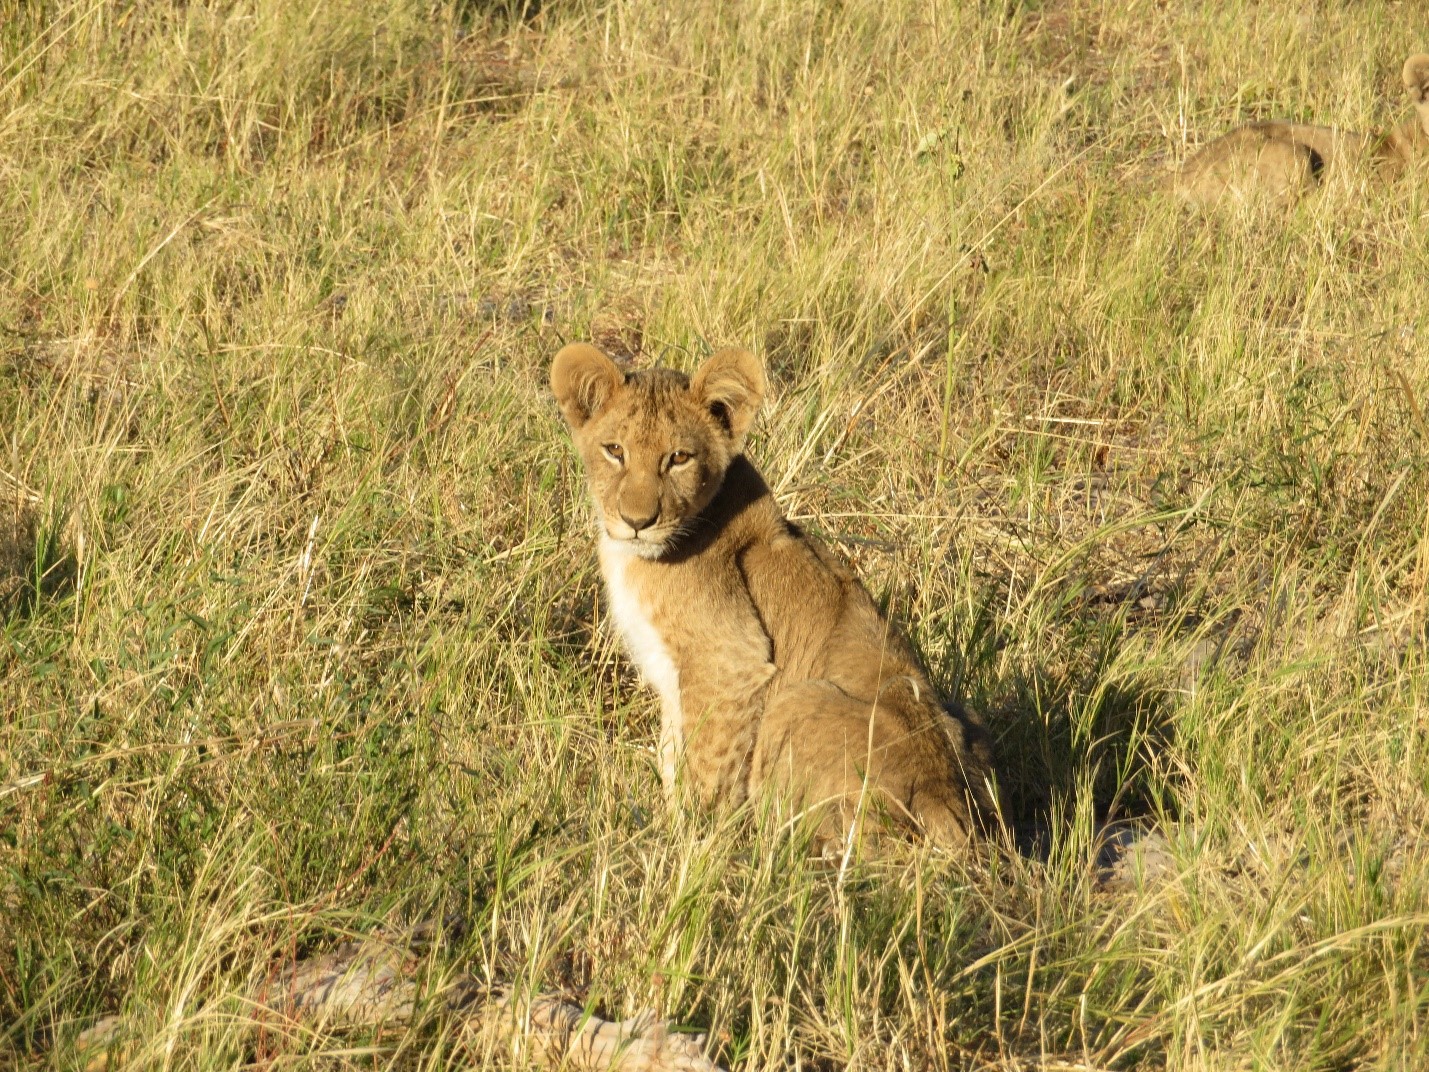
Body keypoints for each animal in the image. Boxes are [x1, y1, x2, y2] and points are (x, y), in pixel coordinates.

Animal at [551, 342, 999, 851]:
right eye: (614, 451)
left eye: (679, 458)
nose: (636, 521)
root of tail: (945, 800)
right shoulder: (674, 678)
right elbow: (671, 754)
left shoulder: (731, 660)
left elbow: (706, 767)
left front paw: (690, 842)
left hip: (797, 699)